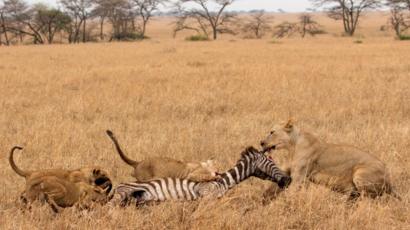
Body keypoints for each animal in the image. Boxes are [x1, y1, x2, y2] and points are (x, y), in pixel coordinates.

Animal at [111, 146, 292, 206]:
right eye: (272, 163)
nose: (288, 180)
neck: (222, 182)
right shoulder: (205, 196)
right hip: (125, 193)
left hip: (136, 199)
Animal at [260, 119, 400, 200]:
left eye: (272, 132)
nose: (261, 142)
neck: (292, 147)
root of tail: (389, 179)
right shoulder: (286, 172)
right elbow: (270, 189)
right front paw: (260, 202)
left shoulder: (299, 178)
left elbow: (290, 194)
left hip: (360, 173)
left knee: (368, 199)